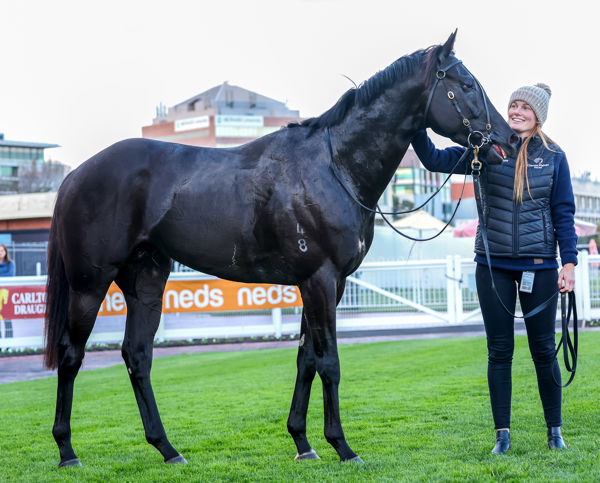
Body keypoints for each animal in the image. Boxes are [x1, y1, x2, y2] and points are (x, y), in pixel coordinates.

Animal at [44, 32, 516, 466]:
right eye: (466, 84)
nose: (509, 138)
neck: (333, 166)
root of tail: (75, 176)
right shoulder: (321, 280)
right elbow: (329, 362)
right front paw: (342, 446)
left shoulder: (325, 285)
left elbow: (306, 358)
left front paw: (303, 443)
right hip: (89, 285)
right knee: (71, 355)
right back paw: (67, 450)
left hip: (146, 282)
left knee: (137, 356)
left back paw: (167, 449)